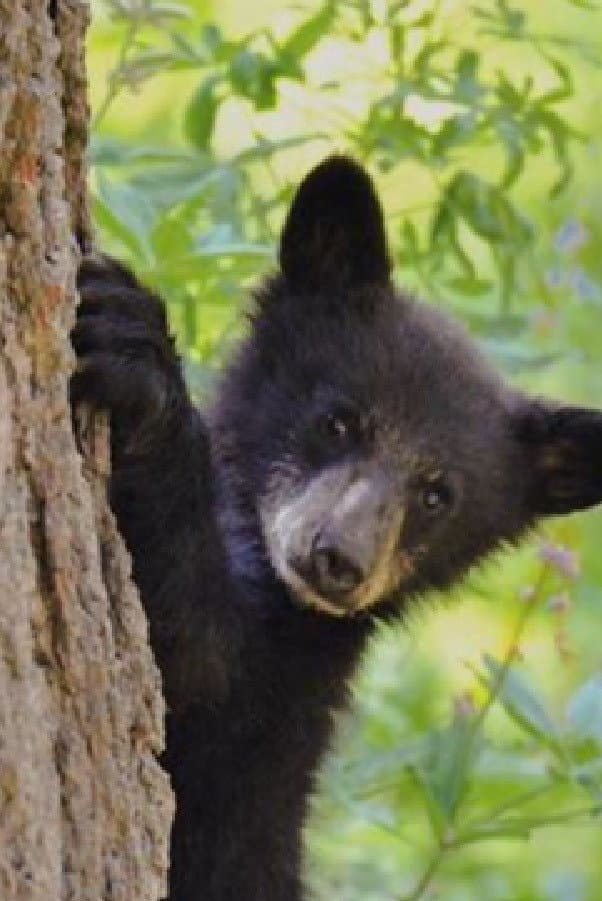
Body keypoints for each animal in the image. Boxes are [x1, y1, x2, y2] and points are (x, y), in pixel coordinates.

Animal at [71, 156, 602, 901]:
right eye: (340, 421)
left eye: (437, 495)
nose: (338, 562)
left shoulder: (278, 692)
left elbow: (199, 656)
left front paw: (138, 356)